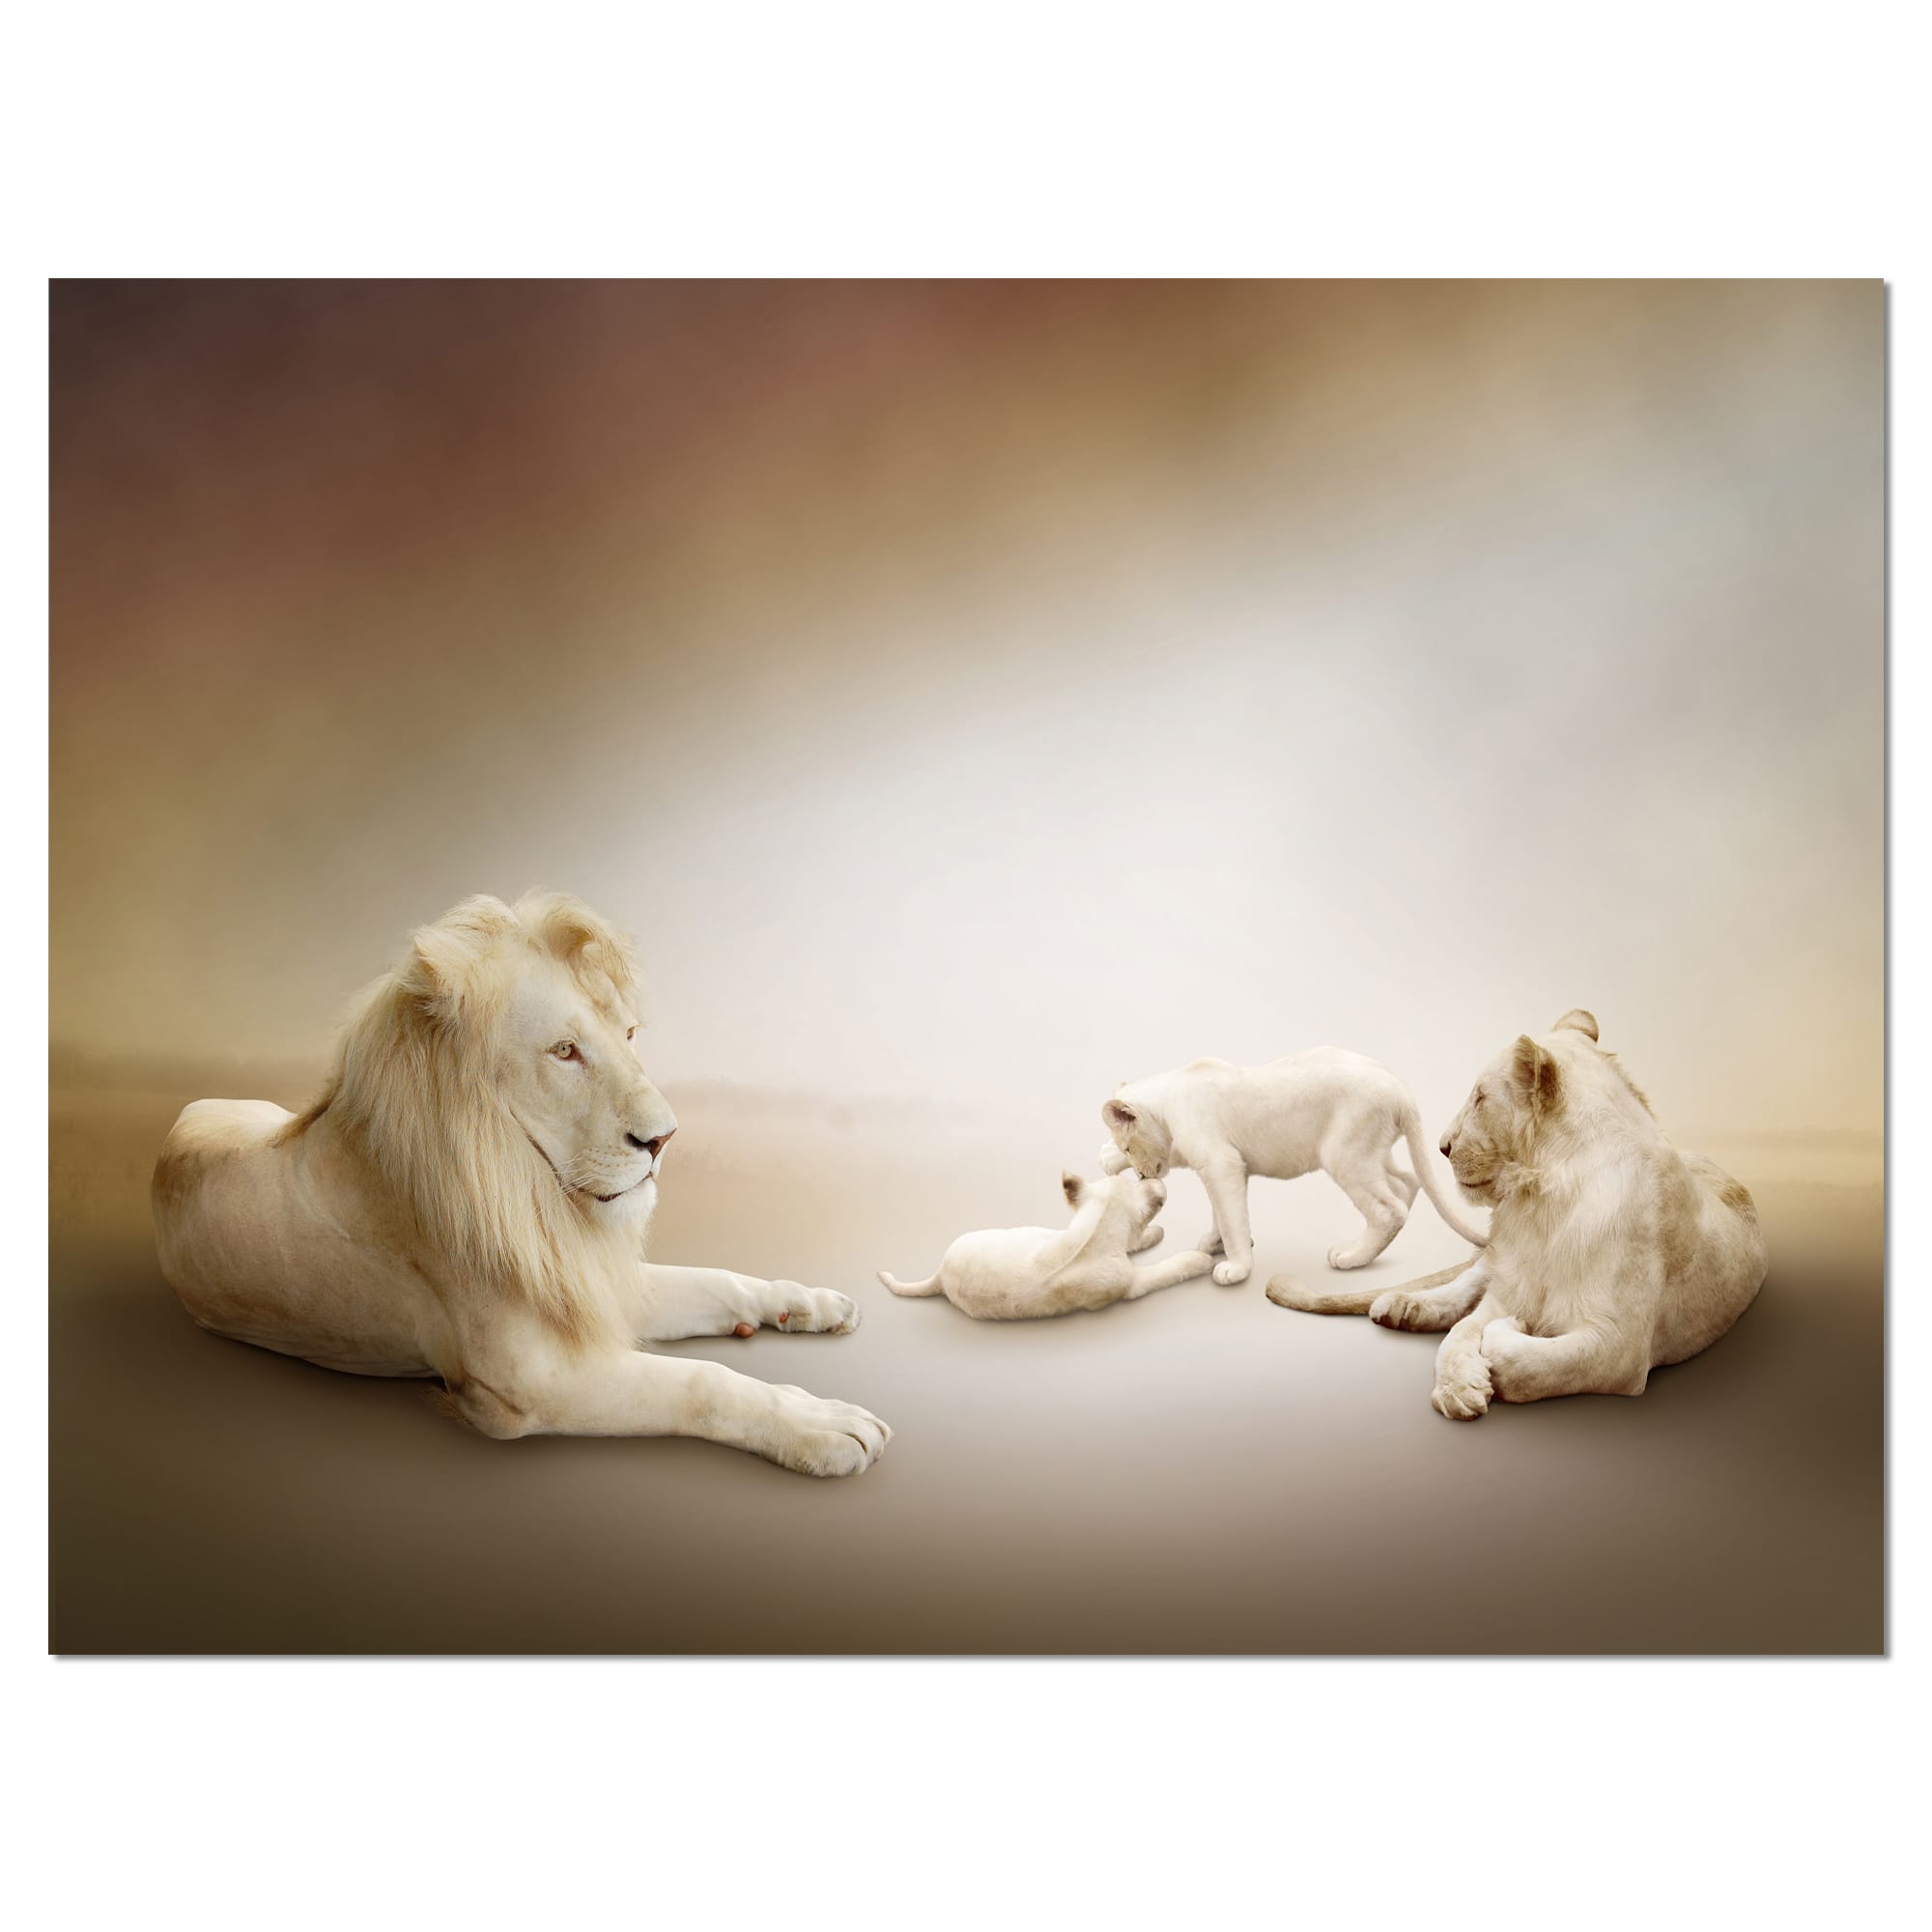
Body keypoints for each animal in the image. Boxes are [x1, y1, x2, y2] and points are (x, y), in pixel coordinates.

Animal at [151, 893, 890, 1477]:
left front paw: (807, 1302)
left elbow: (717, 1279)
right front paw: (822, 1424)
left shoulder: (585, 1283)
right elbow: (701, 1382)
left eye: (628, 1034)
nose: (665, 1140)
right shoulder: (528, 1386)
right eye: (564, 1051)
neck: (539, 1200)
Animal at [878, 1168, 1216, 1319]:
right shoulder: (1130, 1283)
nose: (1147, 1175)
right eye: (1132, 1181)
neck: (1093, 1228)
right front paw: (1201, 1260)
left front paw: (1154, 1233)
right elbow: (1168, 1268)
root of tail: (940, 1275)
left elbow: (1136, 1241)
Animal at [1263, 1011, 1768, 1418]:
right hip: (1493, 1259)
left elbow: (1531, 1362)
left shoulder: (1618, 1348)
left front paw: (1507, 1342)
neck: (1542, 1203)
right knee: (1464, 1287)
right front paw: (1458, 1389)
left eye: (1480, 1098)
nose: (1443, 1146)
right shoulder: (1510, 1283)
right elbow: (1459, 1333)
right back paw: (1402, 1306)